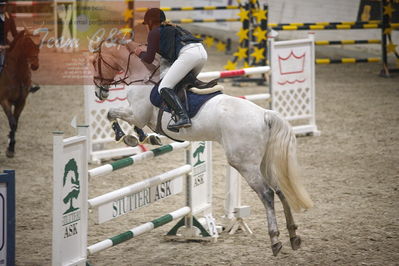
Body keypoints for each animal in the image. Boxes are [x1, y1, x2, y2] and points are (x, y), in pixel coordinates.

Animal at [0, 29, 40, 157]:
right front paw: (10, 148)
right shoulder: (4, 100)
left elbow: (15, 123)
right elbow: (12, 123)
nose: (35, 65)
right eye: (28, 43)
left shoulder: (21, 102)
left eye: (39, 43)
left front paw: (11, 145)